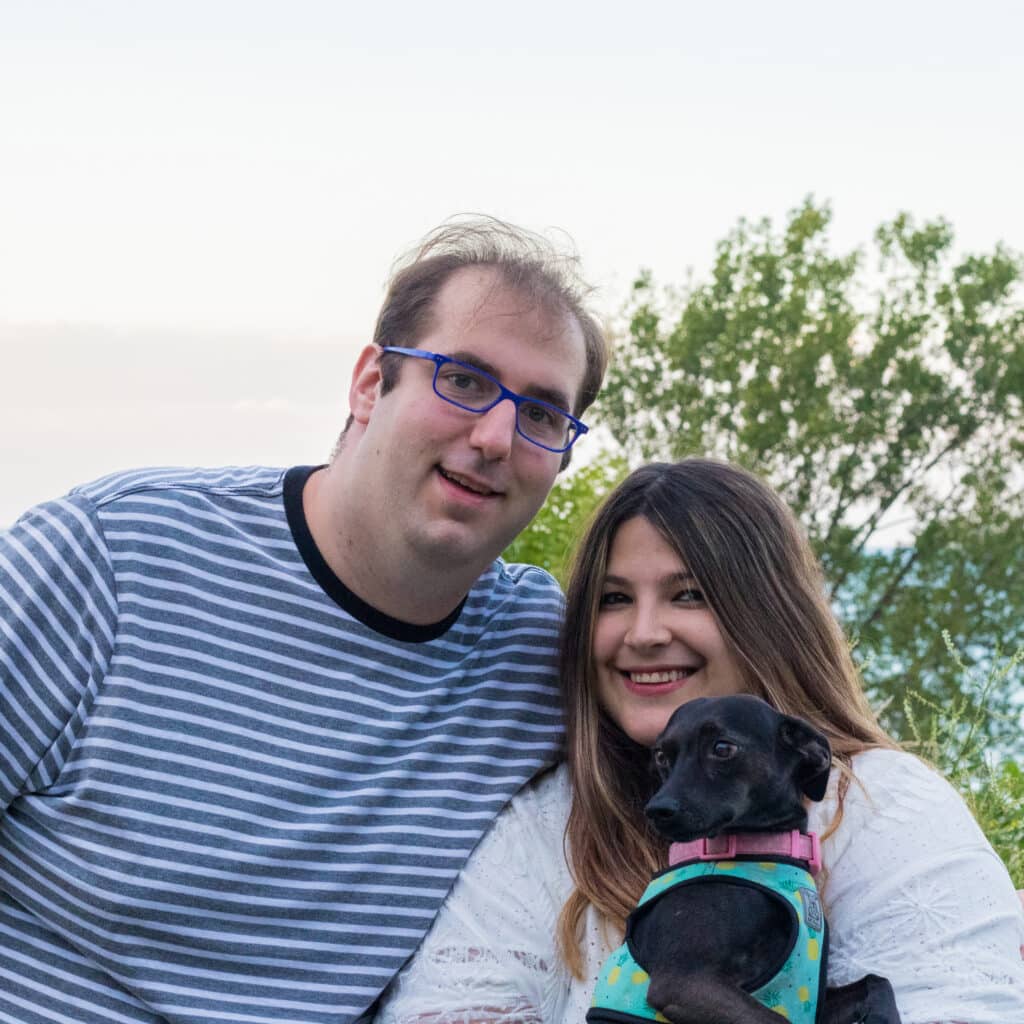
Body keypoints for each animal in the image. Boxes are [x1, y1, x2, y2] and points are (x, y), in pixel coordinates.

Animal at [589, 696, 901, 1024]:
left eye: (722, 748)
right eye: (661, 756)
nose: (657, 810)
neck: (758, 849)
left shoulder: (814, 1006)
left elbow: (877, 982)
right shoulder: (685, 982)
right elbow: (779, 1020)